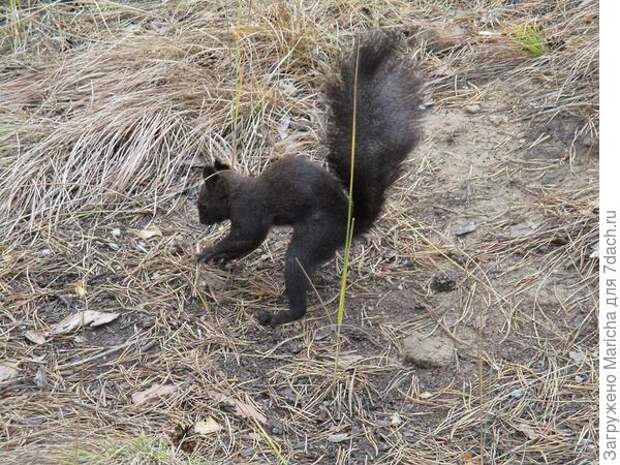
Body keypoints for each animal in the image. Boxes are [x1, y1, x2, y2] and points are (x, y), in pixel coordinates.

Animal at [196, 32, 424, 326]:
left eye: (203, 203)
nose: (201, 220)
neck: (238, 191)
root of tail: (350, 222)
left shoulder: (250, 213)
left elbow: (246, 238)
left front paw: (210, 252)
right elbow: (246, 245)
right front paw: (222, 259)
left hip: (314, 236)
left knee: (298, 282)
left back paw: (277, 317)